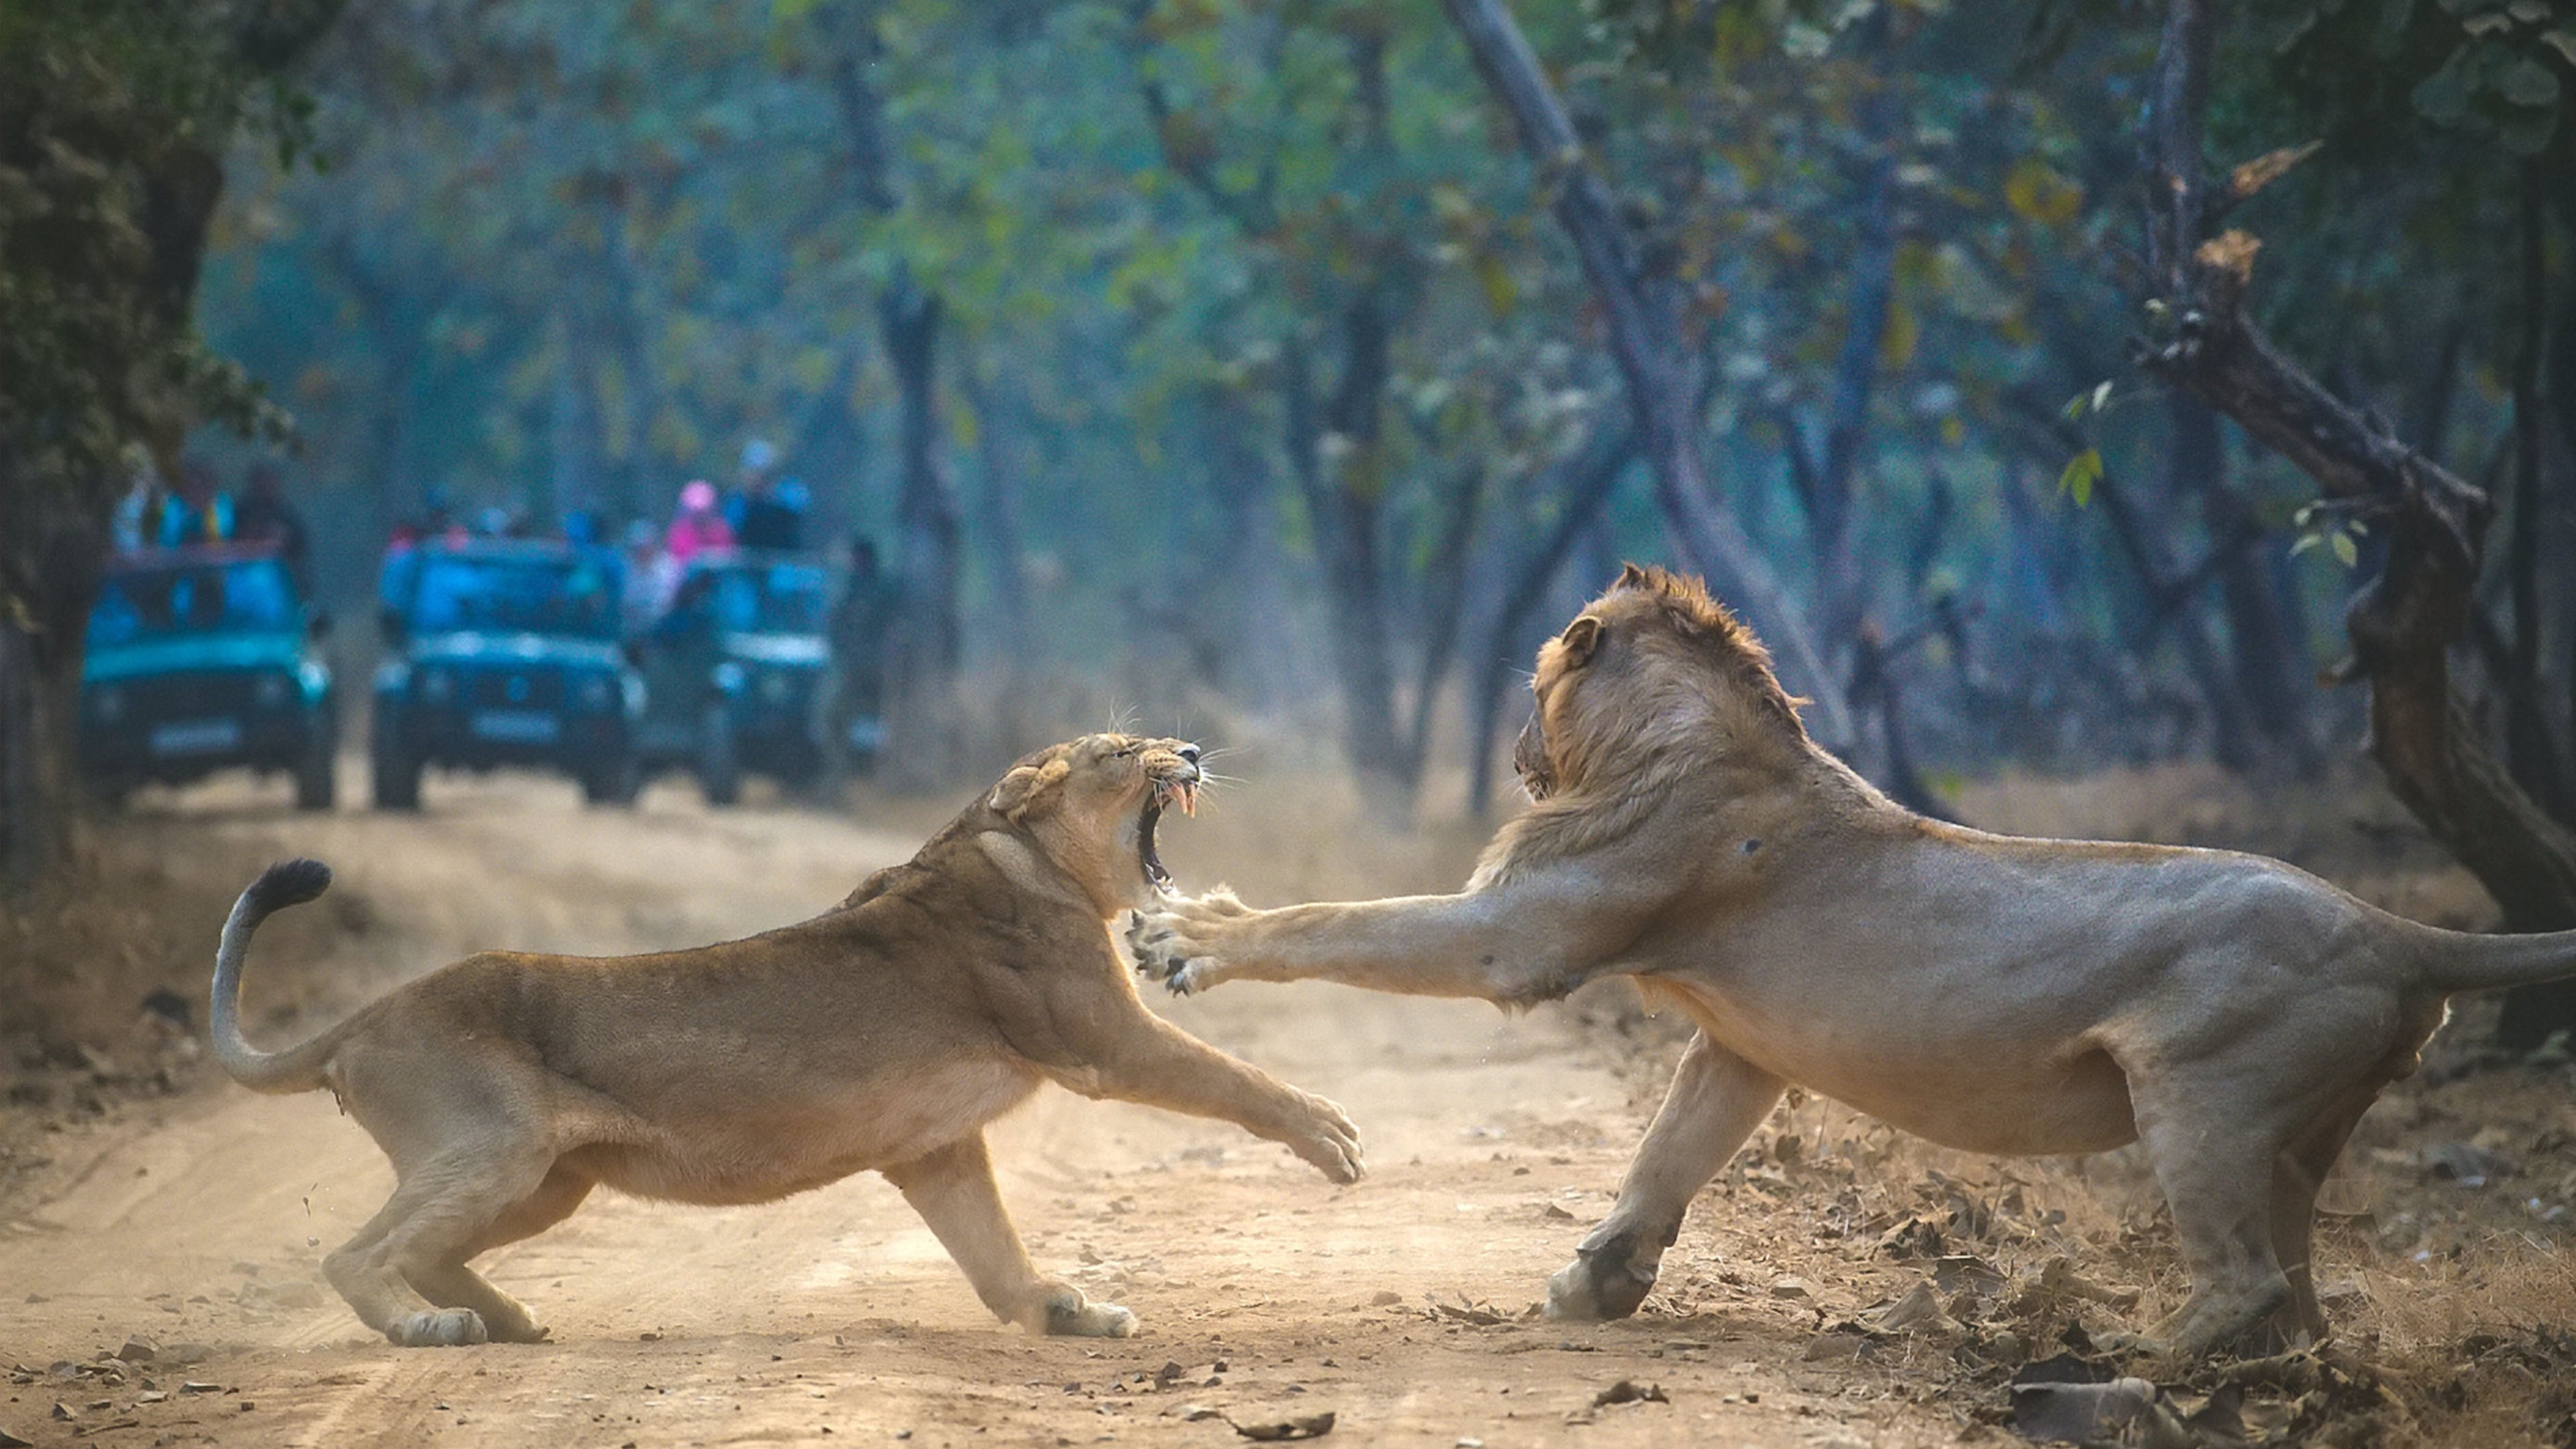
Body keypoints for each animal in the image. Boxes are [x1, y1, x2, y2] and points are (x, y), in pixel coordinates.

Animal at [211, 734, 1362, 1348]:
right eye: (1123, 752)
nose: (1194, 751)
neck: (1016, 853)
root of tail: (361, 1019)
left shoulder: (935, 1149)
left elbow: (994, 1255)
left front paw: (1066, 1310)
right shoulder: (1103, 1042)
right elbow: (1232, 1077)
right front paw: (1331, 1134)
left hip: (549, 1182)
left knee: (432, 1249)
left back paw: (510, 1318)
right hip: (496, 1147)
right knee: (355, 1253)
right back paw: (428, 1328)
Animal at [1129, 565, 2576, 1357]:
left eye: (1537, 681)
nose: (1519, 748)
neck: (1693, 741)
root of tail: (2399, 928)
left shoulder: (1520, 934)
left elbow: (1340, 918)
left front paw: (1187, 936)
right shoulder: (1738, 1044)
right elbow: (1666, 1156)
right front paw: (1598, 1283)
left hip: (2203, 1101)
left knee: (2242, 1279)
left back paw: (2119, 1350)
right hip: (2296, 1137)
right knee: (2300, 1295)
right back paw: (2278, 1385)